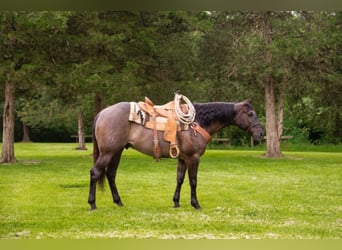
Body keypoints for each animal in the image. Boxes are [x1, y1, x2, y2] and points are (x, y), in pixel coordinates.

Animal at [87, 98, 264, 210]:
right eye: (250, 114)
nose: (261, 134)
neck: (196, 122)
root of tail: (102, 113)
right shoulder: (193, 158)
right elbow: (193, 181)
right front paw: (195, 204)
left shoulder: (183, 159)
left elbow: (179, 179)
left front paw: (176, 202)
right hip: (108, 153)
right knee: (95, 173)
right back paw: (93, 204)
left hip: (116, 152)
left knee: (110, 175)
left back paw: (118, 202)